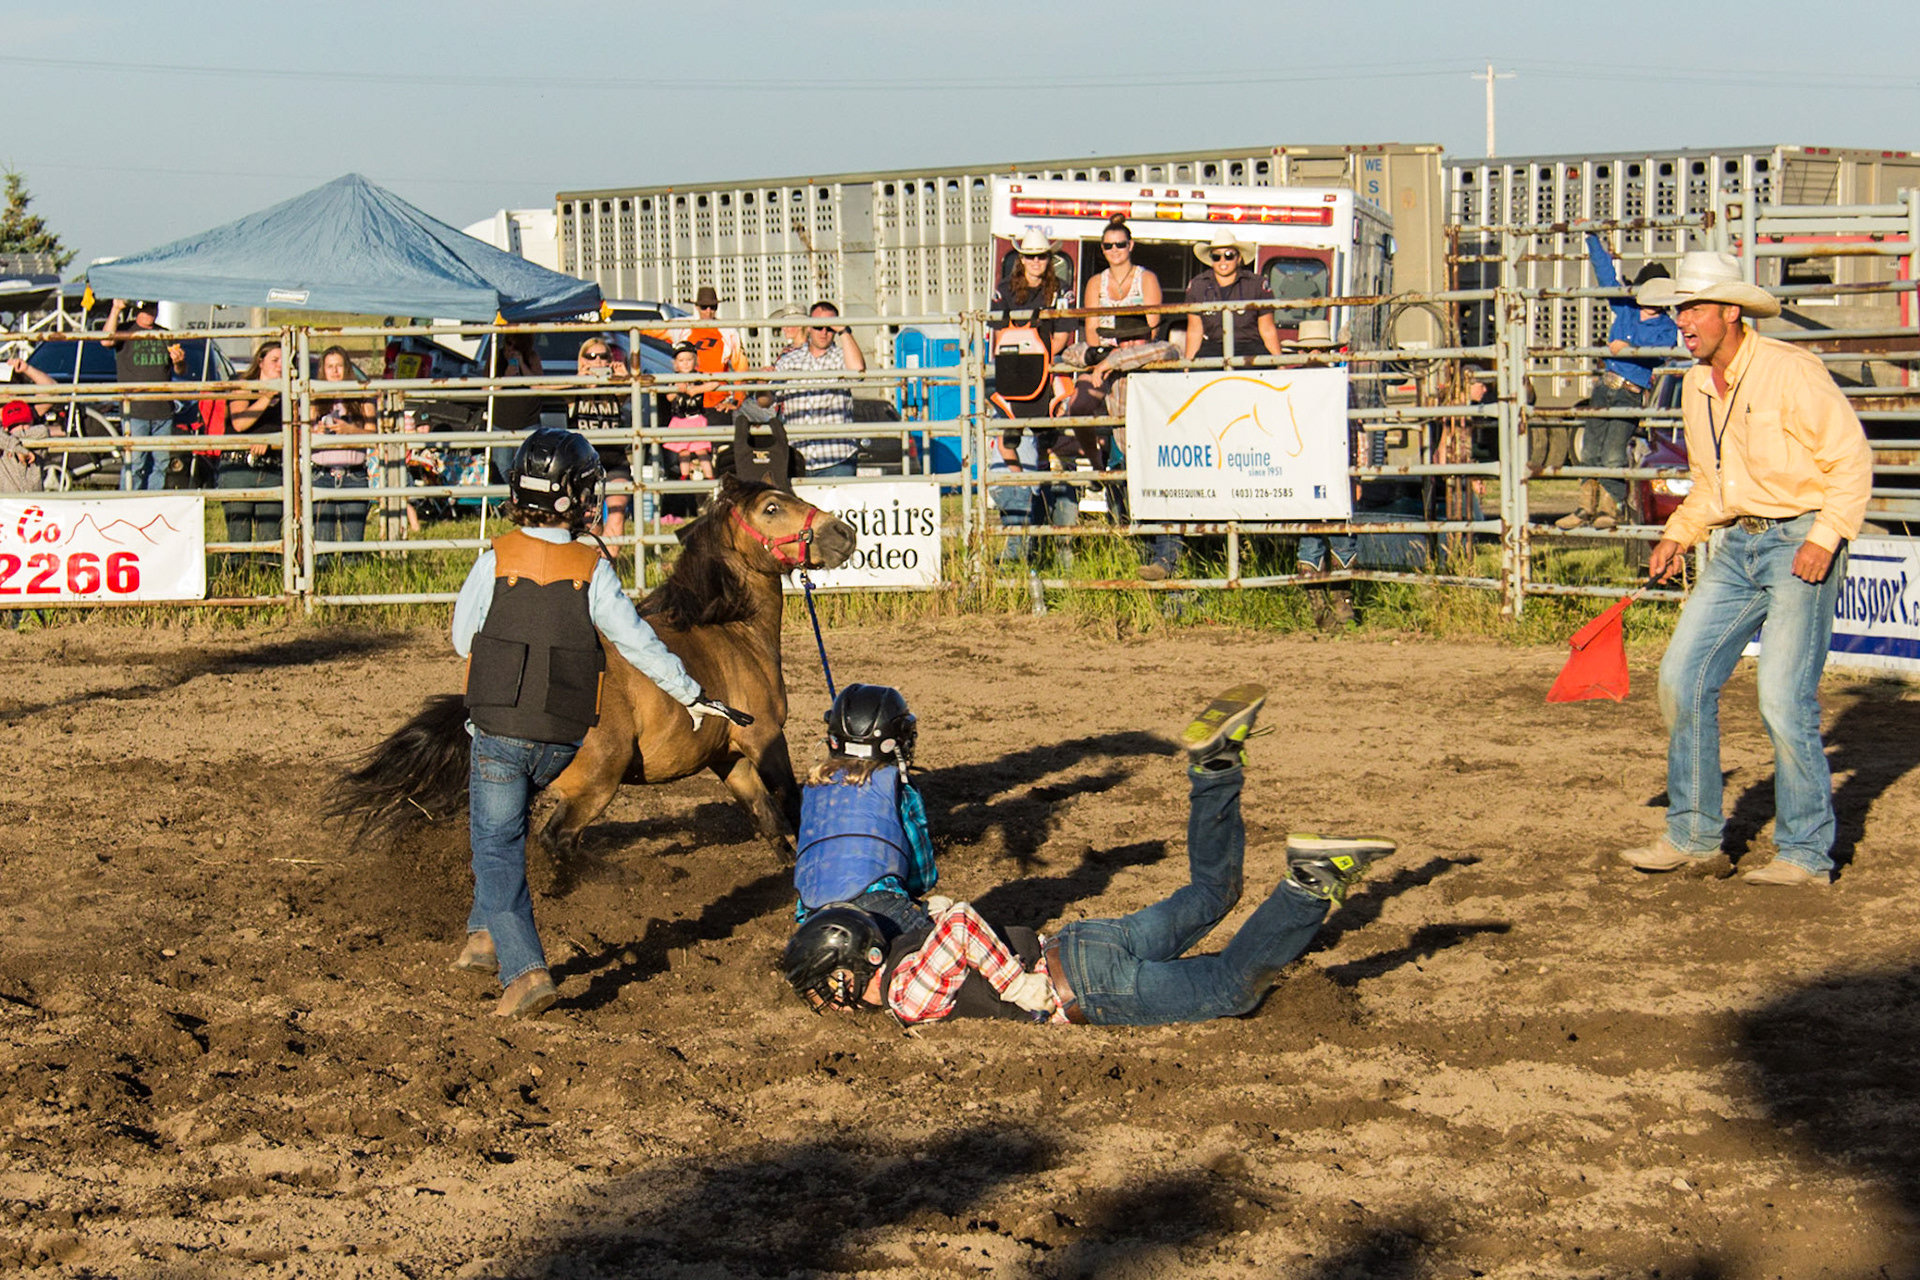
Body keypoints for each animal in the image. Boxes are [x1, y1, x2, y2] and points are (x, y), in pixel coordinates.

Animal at [331, 475, 857, 855]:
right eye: (771, 508)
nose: (844, 531)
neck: (729, 628)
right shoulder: (764, 738)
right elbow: (791, 805)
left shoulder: (729, 758)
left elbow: (767, 819)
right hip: (596, 783)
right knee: (556, 839)